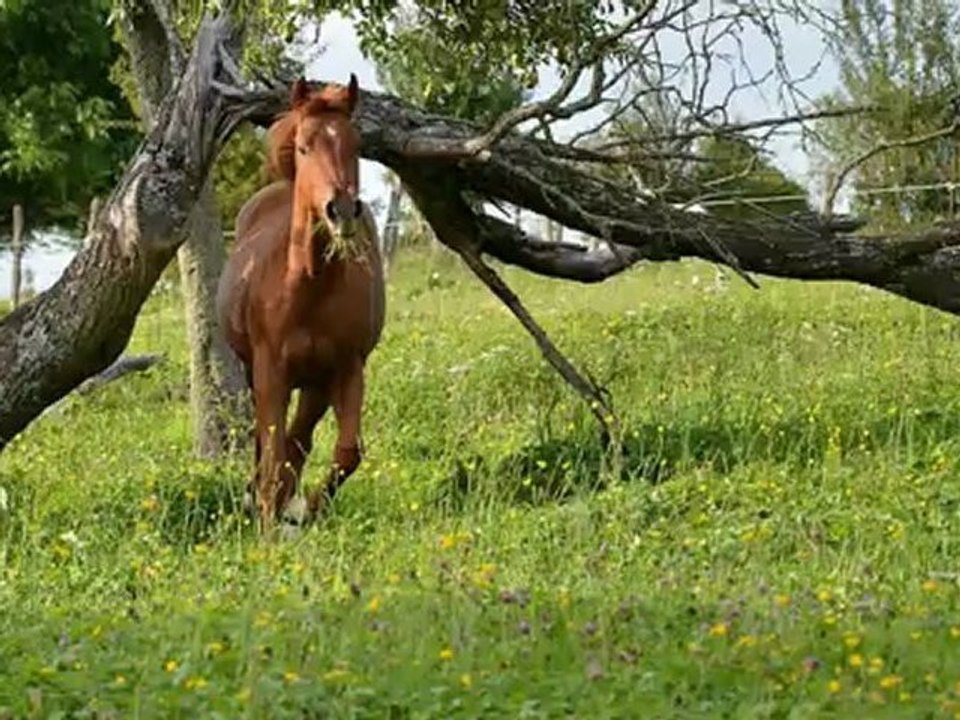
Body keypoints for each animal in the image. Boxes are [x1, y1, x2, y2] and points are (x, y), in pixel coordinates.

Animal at [216, 75, 385, 531]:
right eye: (306, 146)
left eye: (356, 145)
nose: (341, 209)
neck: (307, 289)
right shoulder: (270, 371)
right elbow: (273, 455)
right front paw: (269, 523)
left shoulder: (345, 369)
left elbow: (346, 452)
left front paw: (305, 508)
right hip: (261, 374)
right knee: (269, 444)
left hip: (315, 382)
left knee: (300, 439)